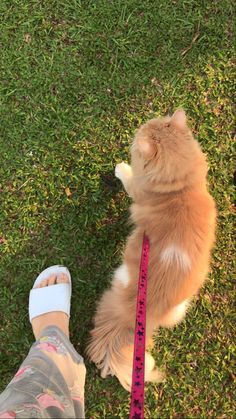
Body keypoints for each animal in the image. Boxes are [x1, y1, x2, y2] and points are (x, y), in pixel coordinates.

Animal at [86, 110, 216, 392]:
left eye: (139, 135)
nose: (136, 130)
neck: (180, 188)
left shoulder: (137, 189)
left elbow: (129, 178)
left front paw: (122, 168)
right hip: (181, 307)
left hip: (122, 271)